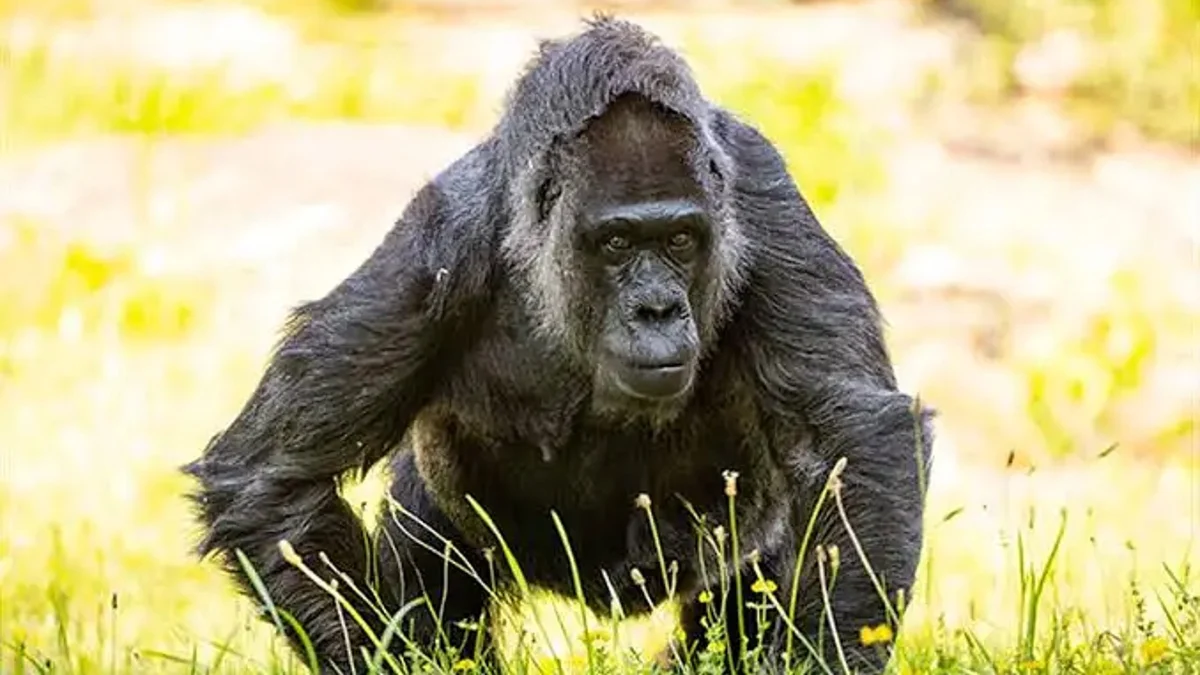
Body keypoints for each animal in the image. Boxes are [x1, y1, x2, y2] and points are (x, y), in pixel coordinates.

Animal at [183, 15, 933, 675]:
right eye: (618, 243)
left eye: (681, 239)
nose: (657, 309)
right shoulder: (437, 246)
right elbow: (272, 480)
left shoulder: (759, 196)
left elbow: (850, 443)